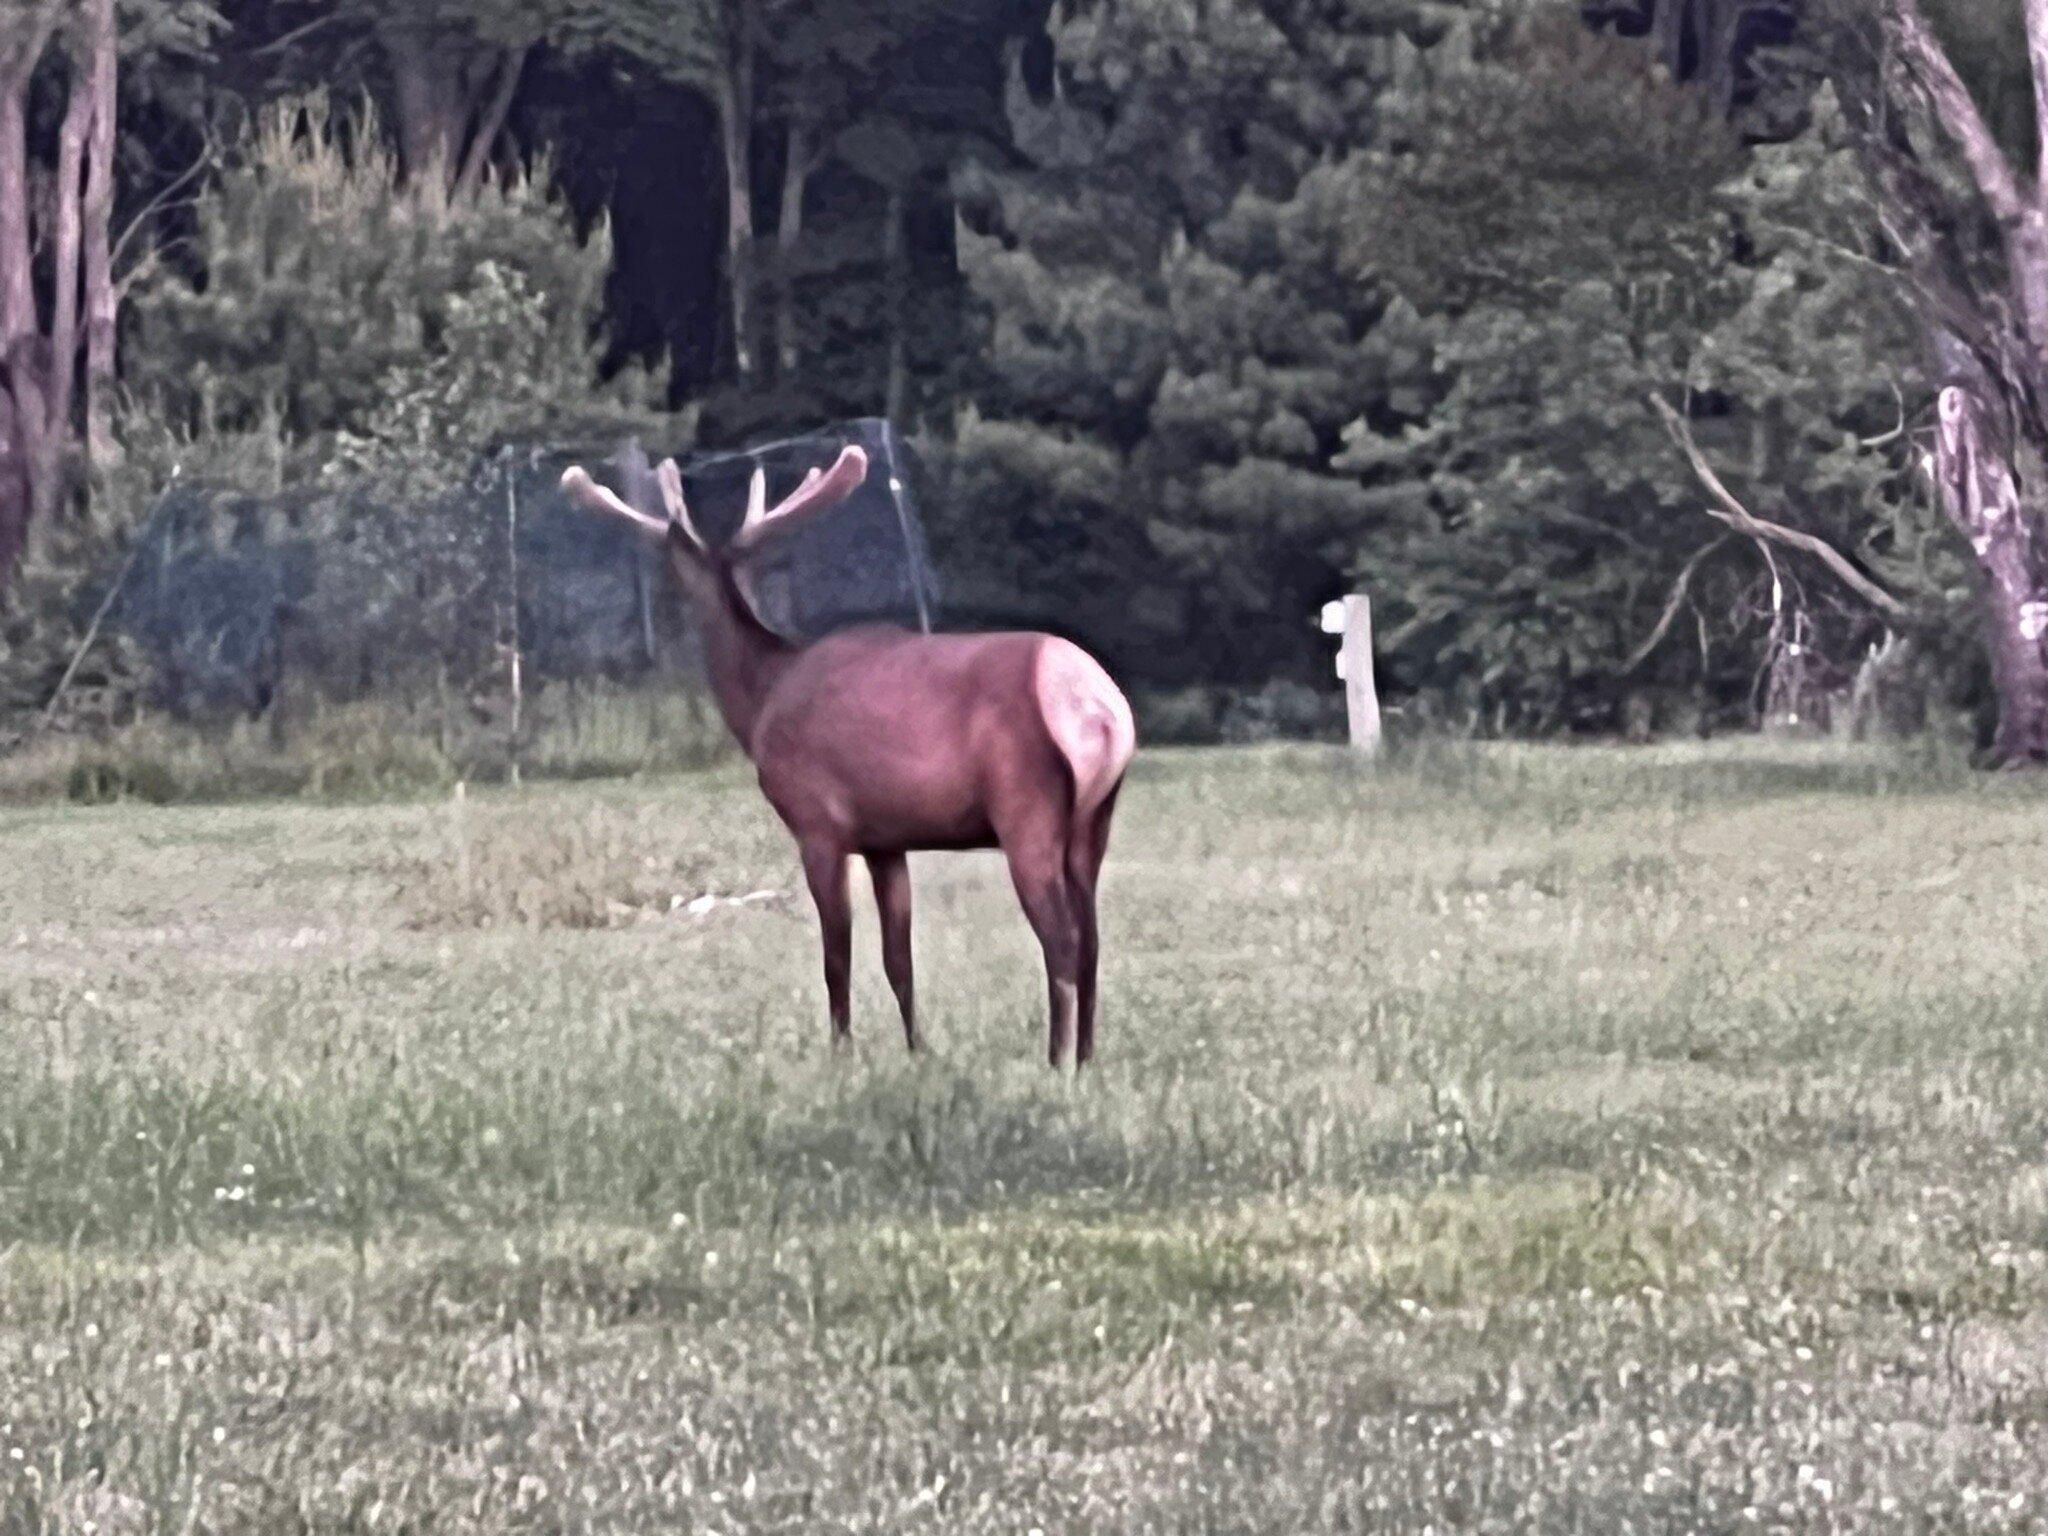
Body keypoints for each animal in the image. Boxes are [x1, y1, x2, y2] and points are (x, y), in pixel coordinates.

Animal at [561, 444, 1138, 1073]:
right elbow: (898, 960)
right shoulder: (886, 840)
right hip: (1095, 819)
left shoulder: (816, 822)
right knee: (1093, 942)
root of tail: (1102, 711)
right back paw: (1087, 1058)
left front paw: (840, 1053)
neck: (761, 698)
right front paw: (917, 1051)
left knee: (1061, 940)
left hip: (1025, 807)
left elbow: (835, 957)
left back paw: (1056, 1063)